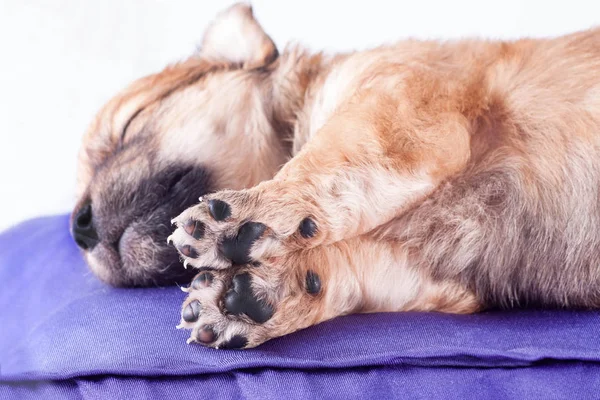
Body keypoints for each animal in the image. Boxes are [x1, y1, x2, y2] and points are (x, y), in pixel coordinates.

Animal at [72, 2, 600, 346]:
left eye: (128, 126)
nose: (78, 227)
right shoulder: (434, 276)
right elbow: (346, 269)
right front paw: (267, 294)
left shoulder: (397, 104)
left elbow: (324, 161)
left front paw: (251, 215)